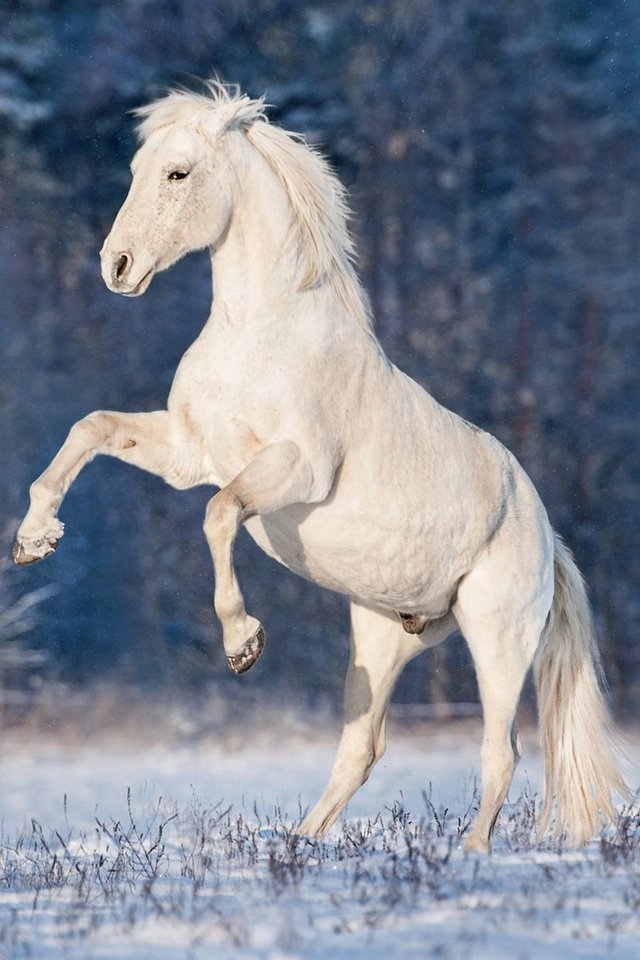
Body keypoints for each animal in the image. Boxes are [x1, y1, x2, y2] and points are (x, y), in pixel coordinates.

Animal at [12, 80, 628, 848]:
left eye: (178, 173)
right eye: (136, 169)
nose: (116, 267)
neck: (261, 335)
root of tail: (550, 541)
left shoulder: (296, 470)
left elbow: (219, 512)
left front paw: (243, 643)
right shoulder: (189, 451)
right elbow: (92, 428)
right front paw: (34, 540)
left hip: (497, 637)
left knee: (502, 752)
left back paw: (470, 854)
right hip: (382, 640)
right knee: (361, 750)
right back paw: (300, 845)